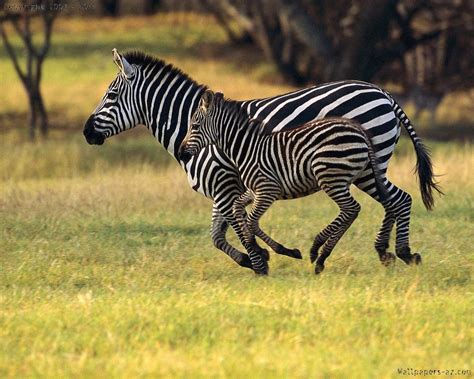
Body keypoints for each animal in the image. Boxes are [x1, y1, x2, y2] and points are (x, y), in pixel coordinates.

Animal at [82, 49, 440, 272]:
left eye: (111, 95)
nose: (86, 132)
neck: (192, 125)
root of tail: (383, 93)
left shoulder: (225, 186)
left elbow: (237, 227)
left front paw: (259, 260)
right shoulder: (224, 191)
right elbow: (217, 236)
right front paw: (255, 259)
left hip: (363, 165)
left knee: (395, 200)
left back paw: (393, 251)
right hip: (367, 167)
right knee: (398, 200)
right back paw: (391, 253)